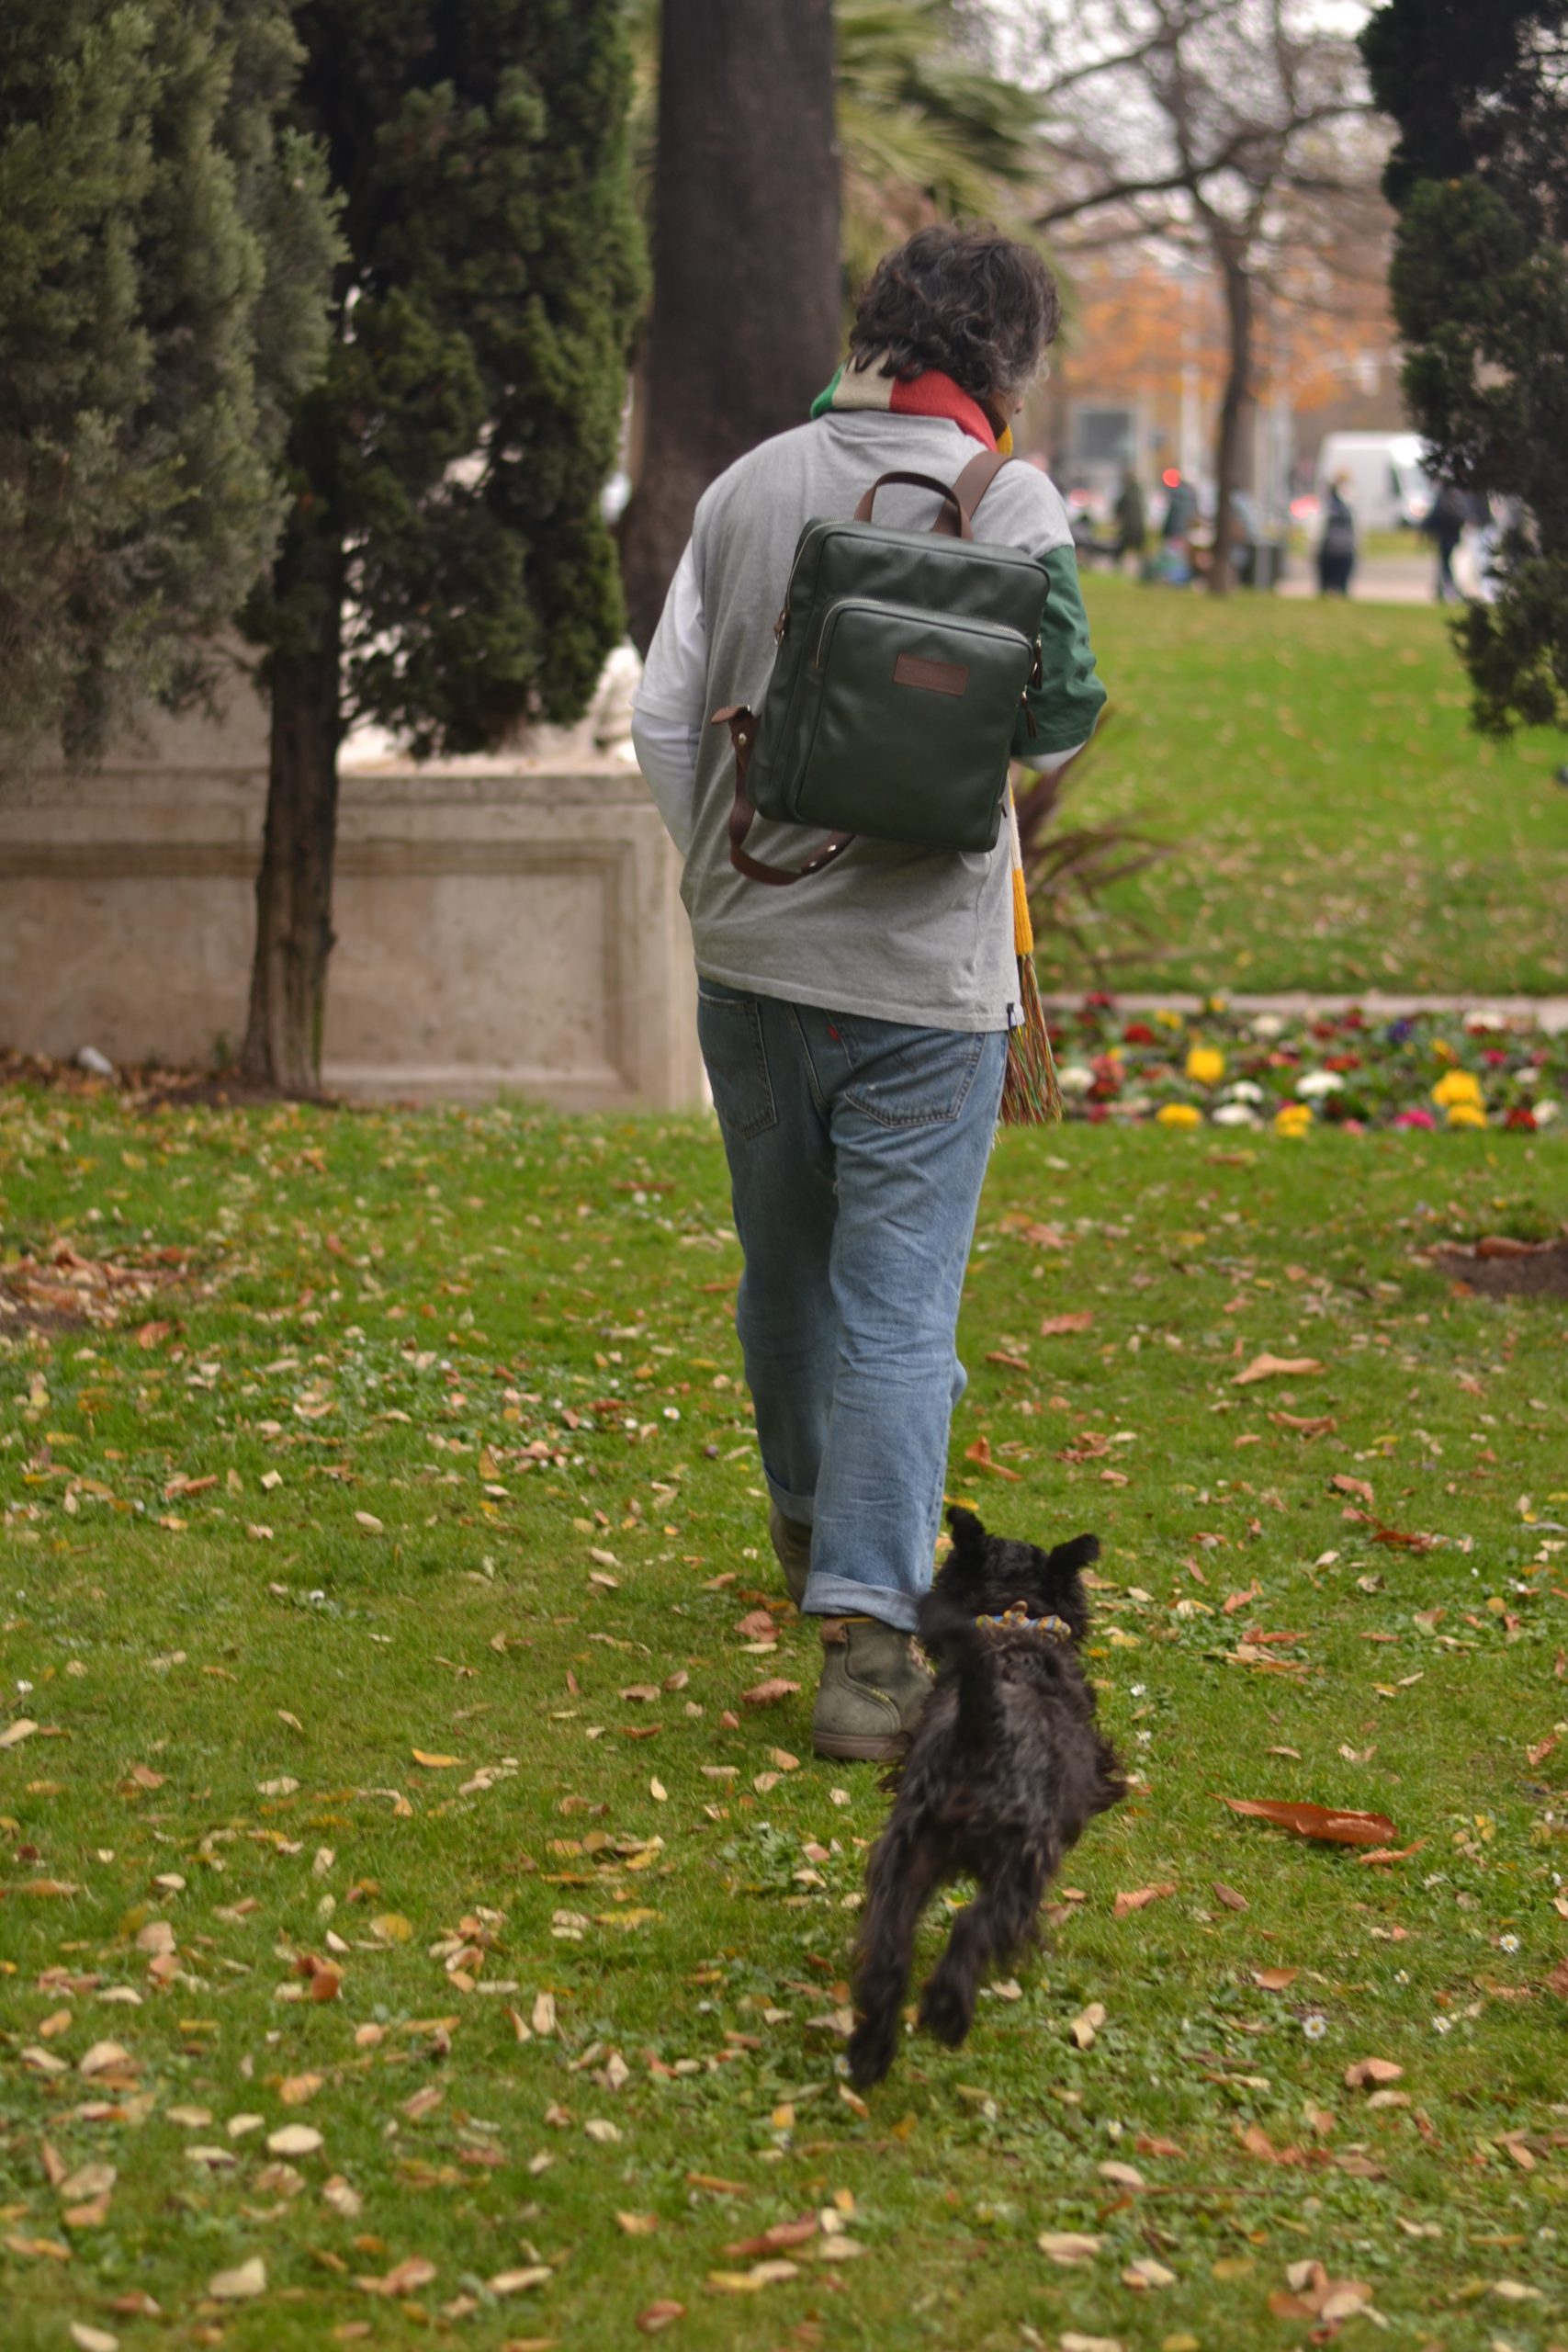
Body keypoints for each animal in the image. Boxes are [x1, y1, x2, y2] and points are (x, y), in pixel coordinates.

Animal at [846, 1505, 1125, 2087]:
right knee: (974, 1926)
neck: (1015, 1625)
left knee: (889, 1953)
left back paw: (870, 2052)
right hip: (1020, 1866)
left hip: (906, 1859)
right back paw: (947, 2011)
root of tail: (983, 1729)